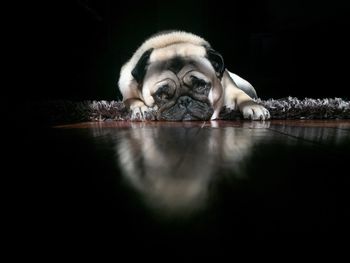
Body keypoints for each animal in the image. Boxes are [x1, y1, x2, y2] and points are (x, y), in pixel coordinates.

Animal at [118, 30, 270, 121]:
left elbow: (242, 96)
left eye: (200, 85)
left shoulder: (229, 87)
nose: (184, 100)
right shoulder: (127, 90)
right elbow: (131, 100)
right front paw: (140, 108)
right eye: (162, 94)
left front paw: (254, 106)